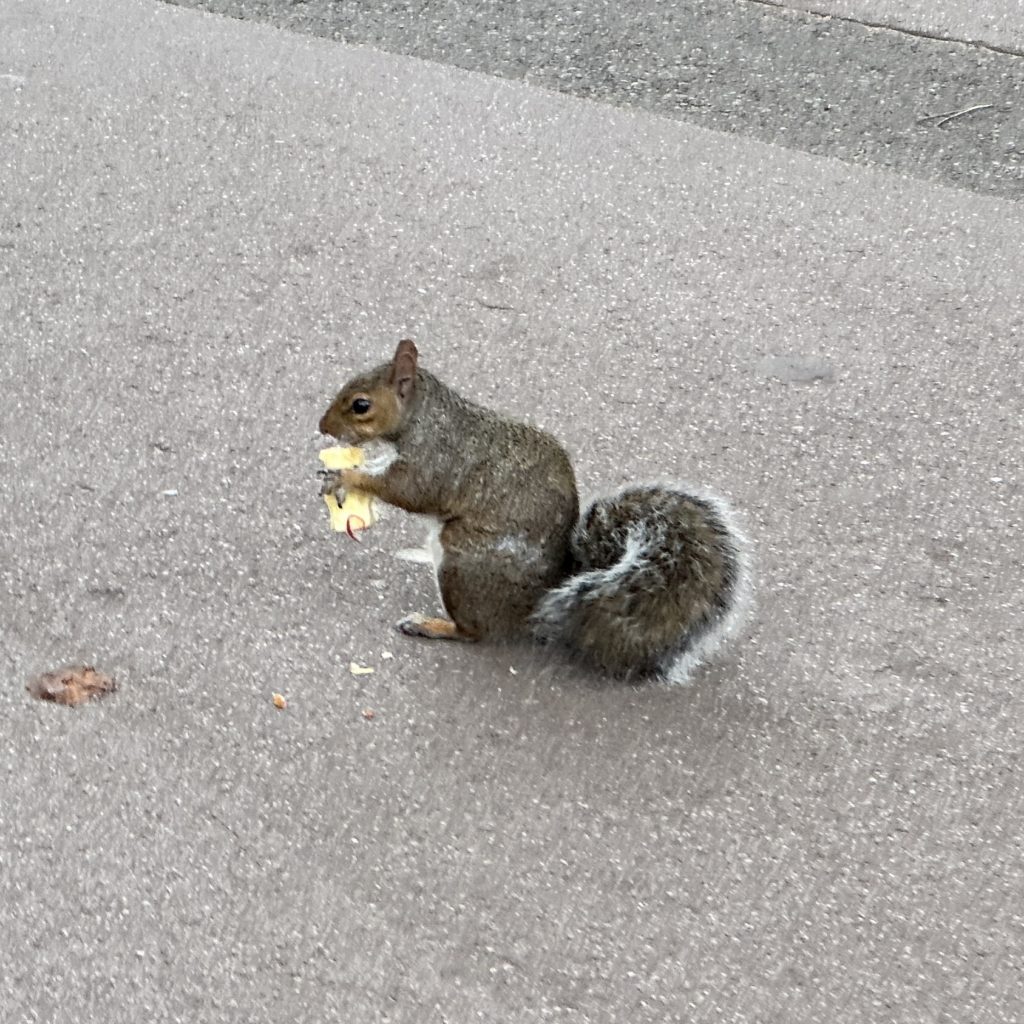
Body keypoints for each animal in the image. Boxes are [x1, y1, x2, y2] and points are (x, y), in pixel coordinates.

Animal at [315, 339, 749, 684]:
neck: (426, 416)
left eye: (361, 405)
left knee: (474, 631)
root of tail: (540, 600)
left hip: (462, 562)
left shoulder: (436, 460)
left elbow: (409, 491)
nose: (322, 427)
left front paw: (346, 477)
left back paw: (432, 625)